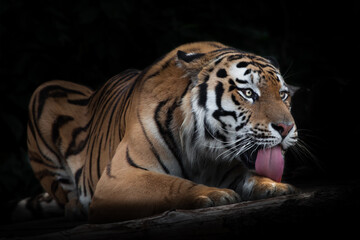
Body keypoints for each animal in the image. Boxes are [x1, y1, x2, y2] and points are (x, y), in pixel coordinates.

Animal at [27, 41, 298, 223]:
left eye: (283, 95)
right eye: (248, 93)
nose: (286, 128)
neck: (203, 153)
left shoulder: (231, 168)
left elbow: (253, 176)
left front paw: (274, 186)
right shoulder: (119, 177)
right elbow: (172, 184)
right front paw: (214, 194)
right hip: (43, 91)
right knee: (65, 196)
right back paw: (75, 208)